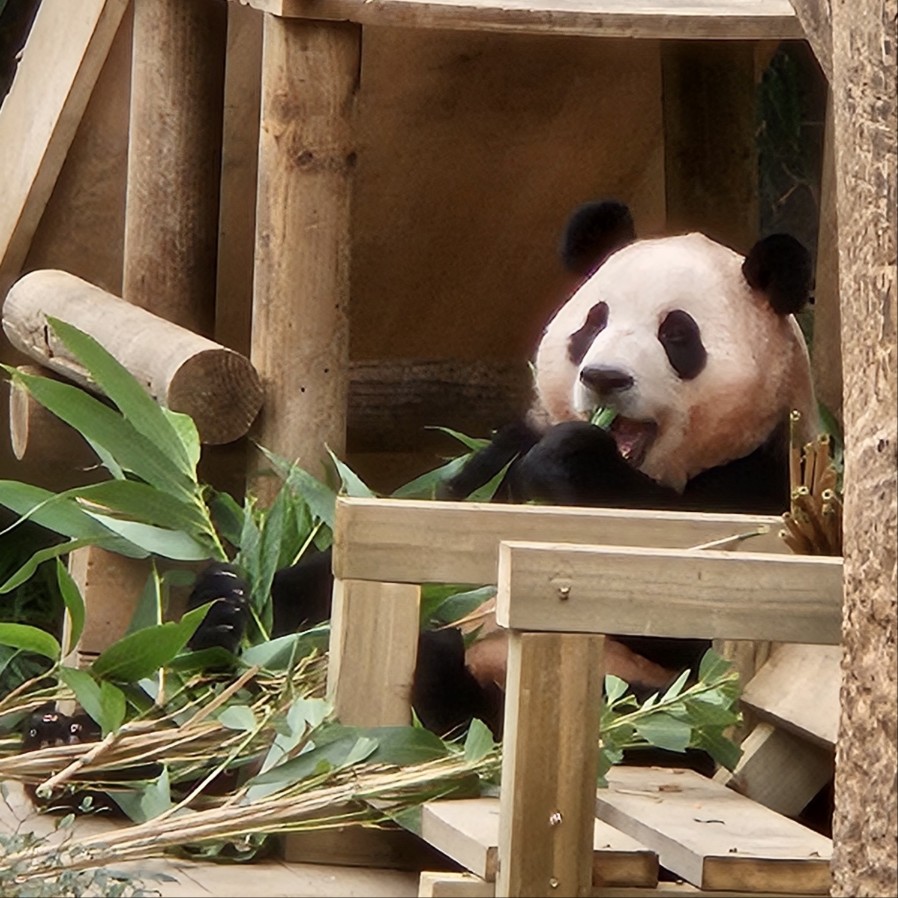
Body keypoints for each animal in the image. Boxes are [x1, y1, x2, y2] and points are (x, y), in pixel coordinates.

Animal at [189, 201, 820, 744]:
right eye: (593, 324)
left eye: (677, 335)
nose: (605, 378)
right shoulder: (500, 466)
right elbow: (416, 543)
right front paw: (227, 601)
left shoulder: (762, 489)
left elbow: (682, 615)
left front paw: (572, 461)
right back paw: (220, 615)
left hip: (642, 706)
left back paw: (443, 679)